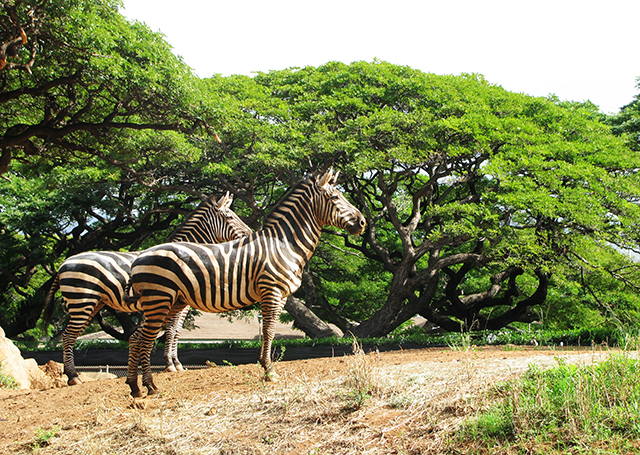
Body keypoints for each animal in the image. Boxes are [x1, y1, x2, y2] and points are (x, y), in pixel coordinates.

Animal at [41, 192, 252, 385]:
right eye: (230, 217)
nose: (250, 234)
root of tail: (64, 264)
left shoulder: (182, 303)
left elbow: (176, 330)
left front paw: (176, 363)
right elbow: (170, 329)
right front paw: (170, 364)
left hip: (92, 304)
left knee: (70, 335)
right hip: (81, 301)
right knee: (68, 336)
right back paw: (73, 376)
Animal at [124, 168, 366, 397]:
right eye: (335, 197)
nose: (363, 222)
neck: (284, 245)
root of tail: (139, 256)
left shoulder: (283, 295)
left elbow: (270, 331)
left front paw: (265, 367)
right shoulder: (272, 290)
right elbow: (269, 330)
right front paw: (269, 371)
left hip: (169, 302)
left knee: (137, 337)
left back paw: (135, 387)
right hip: (159, 300)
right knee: (145, 339)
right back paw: (150, 385)